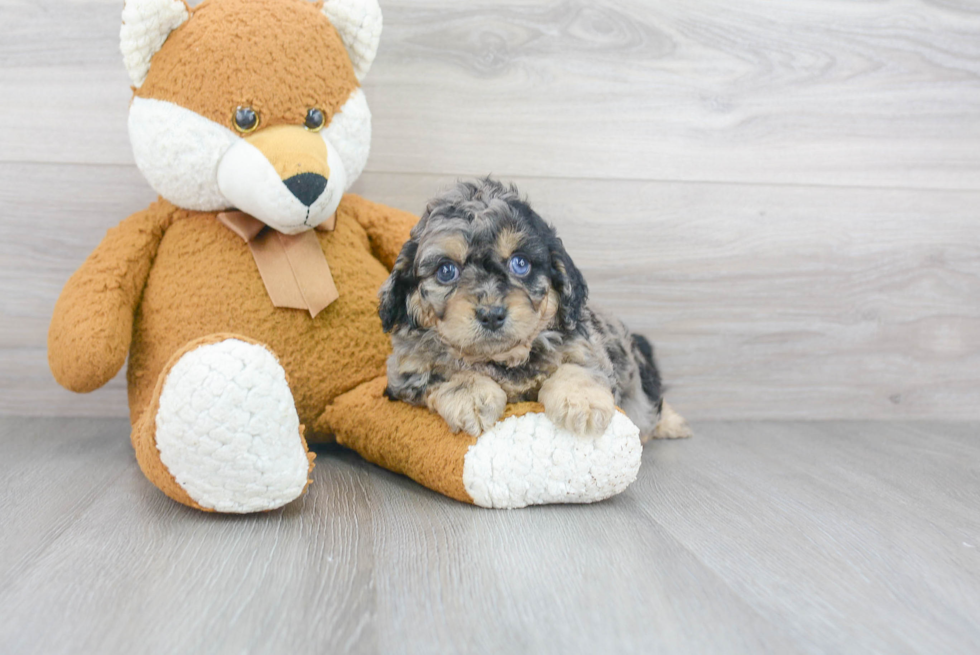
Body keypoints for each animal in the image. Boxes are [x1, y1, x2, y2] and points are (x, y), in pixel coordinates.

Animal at [376, 178, 688, 440]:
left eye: (520, 263)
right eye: (446, 270)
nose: (491, 314)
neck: (504, 359)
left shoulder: (588, 348)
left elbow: (578, 367)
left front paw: (582, 404)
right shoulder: (404, 375)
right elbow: (445, 374)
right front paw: (472, 398)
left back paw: (672, 423)